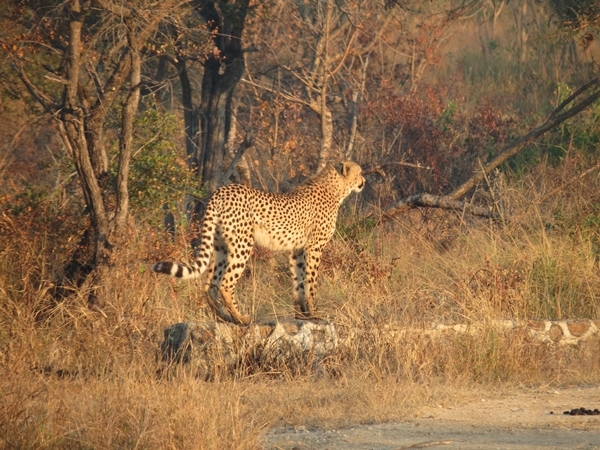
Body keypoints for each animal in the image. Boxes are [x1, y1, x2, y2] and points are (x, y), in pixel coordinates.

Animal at [152, 160, 364, 326]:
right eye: (360, 172)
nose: (364, 181)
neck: (336, 187)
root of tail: (222, 190)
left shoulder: (297, 249)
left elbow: (298, 281)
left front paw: (301, 315)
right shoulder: (314, 247)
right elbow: (310, 281)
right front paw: (314, 314)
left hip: (221, 247)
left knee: (209, 284)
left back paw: (224, 318)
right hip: (242, 244)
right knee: (225, 283)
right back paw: (242, 319)